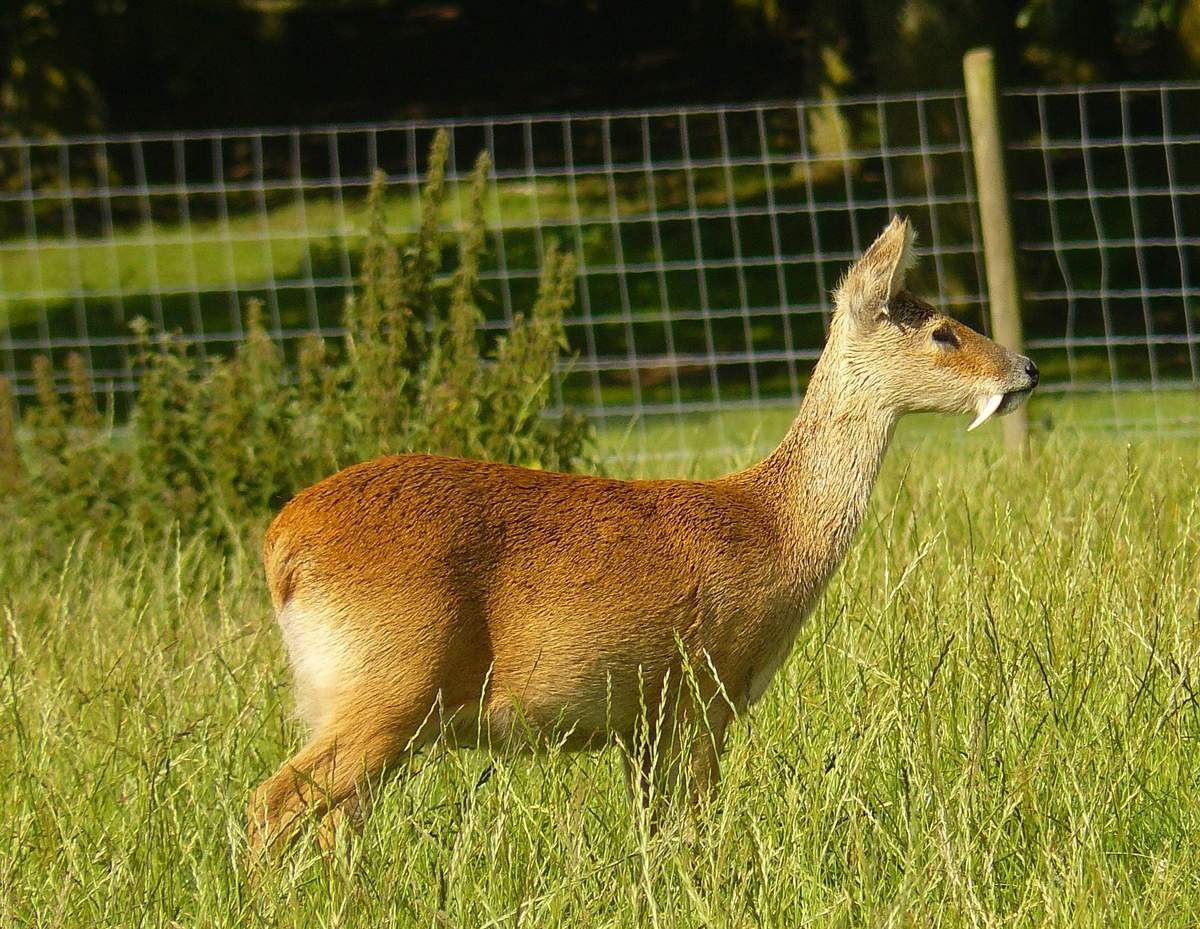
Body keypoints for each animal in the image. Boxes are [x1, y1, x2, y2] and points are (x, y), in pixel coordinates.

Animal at [248, 216, 1036, 849]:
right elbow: (698, 819)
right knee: (271, 803)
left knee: (333, 822)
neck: (777, 528)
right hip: (391, 683)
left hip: (359, 702)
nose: (1025, 367)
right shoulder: (707, 686)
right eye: (941, 331)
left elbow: (651, 825)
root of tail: (283, 544)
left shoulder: (644, 719)